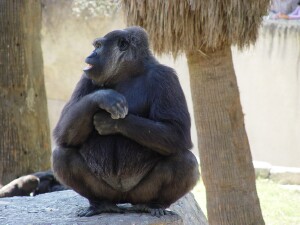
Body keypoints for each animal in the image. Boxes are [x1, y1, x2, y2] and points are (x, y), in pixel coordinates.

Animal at [52, 26, 199, 218]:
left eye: (98, 46)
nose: (91, 54)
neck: (129, 72)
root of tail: (123, 199)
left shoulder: (166, 77)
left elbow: (177, 132)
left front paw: (111, 123)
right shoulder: (86, 78)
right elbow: (63, 130)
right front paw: (103, 97)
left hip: (140, 193)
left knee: (185, 162)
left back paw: (153, 204)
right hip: (108, 191)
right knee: (62, 155)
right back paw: (99, 204)